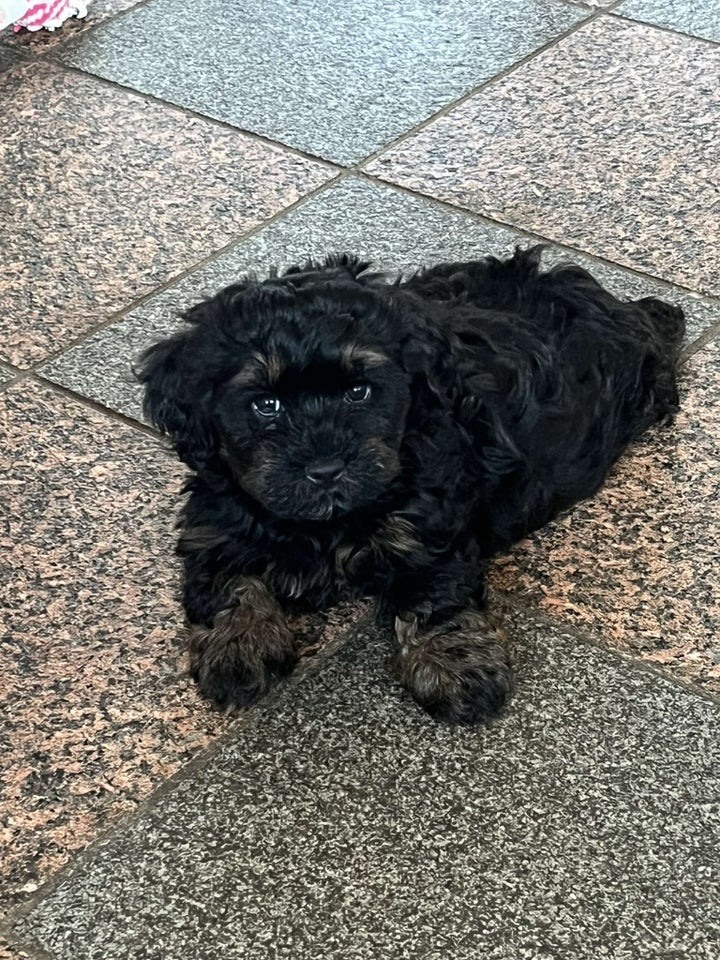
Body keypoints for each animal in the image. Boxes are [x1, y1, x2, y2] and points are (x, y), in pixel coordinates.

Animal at [138, 246, 684, 720]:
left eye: (359, 392)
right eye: (265, 405)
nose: (326, 469)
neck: (324, 525)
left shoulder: (428, 527)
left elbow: (432, 597)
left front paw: (455, 667)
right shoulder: (213, 520)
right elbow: (224, 581)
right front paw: (236, 649)